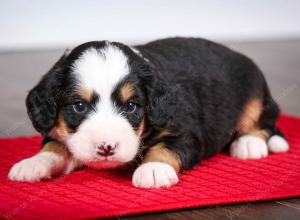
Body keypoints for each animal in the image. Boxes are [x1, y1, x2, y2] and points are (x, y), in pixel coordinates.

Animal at [7, 37, 288, 187]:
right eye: (79, 106)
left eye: (131, 106)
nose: (106, 148)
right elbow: (55, 147)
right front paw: (33, 163)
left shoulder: (184, 130)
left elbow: (165, 148)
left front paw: (154, 169)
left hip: (255, 96)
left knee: (263, 122)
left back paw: (249, 144)